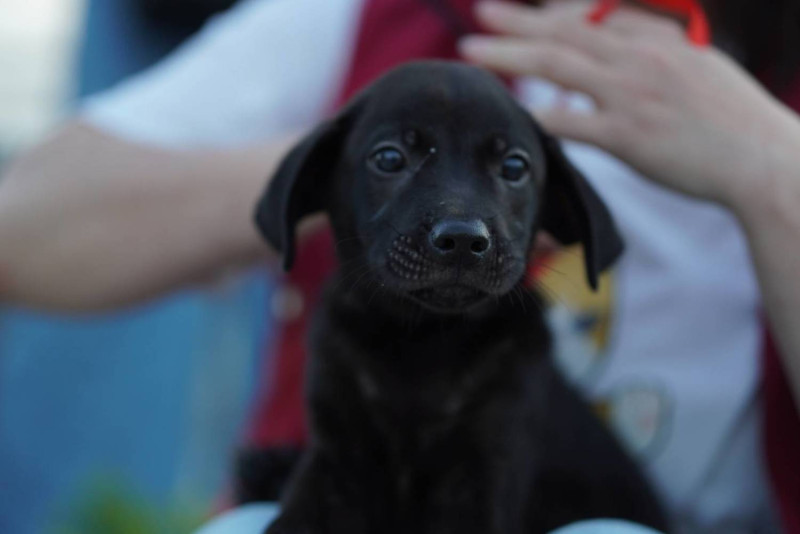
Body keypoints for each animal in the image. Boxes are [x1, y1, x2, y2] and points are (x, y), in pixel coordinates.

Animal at [253, 60, 664, 532]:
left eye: (514, 167)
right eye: (389, 158)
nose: (464, 240)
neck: (423, 341)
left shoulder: (486, 465)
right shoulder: (335, 459)